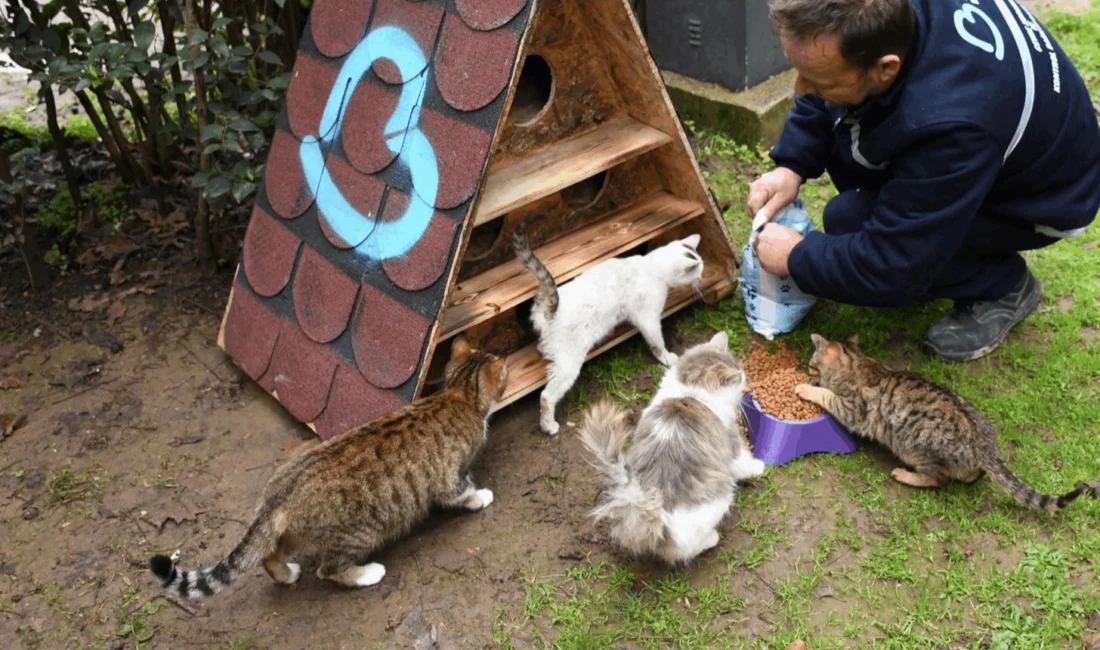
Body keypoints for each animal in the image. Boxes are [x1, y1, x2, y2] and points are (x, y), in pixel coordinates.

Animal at [148, 338, 508, 602]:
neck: (459, 394)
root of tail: (278, 496)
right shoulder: (449, 478)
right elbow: (462, 492)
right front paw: (481, 497)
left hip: (294, 532)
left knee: (268, 555)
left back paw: (287, 574)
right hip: (359, 533)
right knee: (328, 569)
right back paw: (367, 573)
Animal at [512, 214, 704, 437]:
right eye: (698, 272)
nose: (701, 279)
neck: (651, 266)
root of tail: (552, 307)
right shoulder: (648, 318)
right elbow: (657, 343)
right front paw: (666, 357)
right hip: (568, 365)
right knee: (546, 396)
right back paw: (548, 426)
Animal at [576, 332, 765, 567]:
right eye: (741, 379)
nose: (745, 381)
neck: (689, 394)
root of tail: (655, 519)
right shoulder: (732, 443)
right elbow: (745, 462)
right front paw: (760, 467)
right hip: (721, 501)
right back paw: (712, 538)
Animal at [796, 336, 1095, 514]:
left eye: (811, 364)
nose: (806, 371)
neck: (858, 364)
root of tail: (986, 449)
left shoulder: (852, 410)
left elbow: (827, 395)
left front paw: (806, 388)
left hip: (917, 448)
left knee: (937, 478)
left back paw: (905, 475)